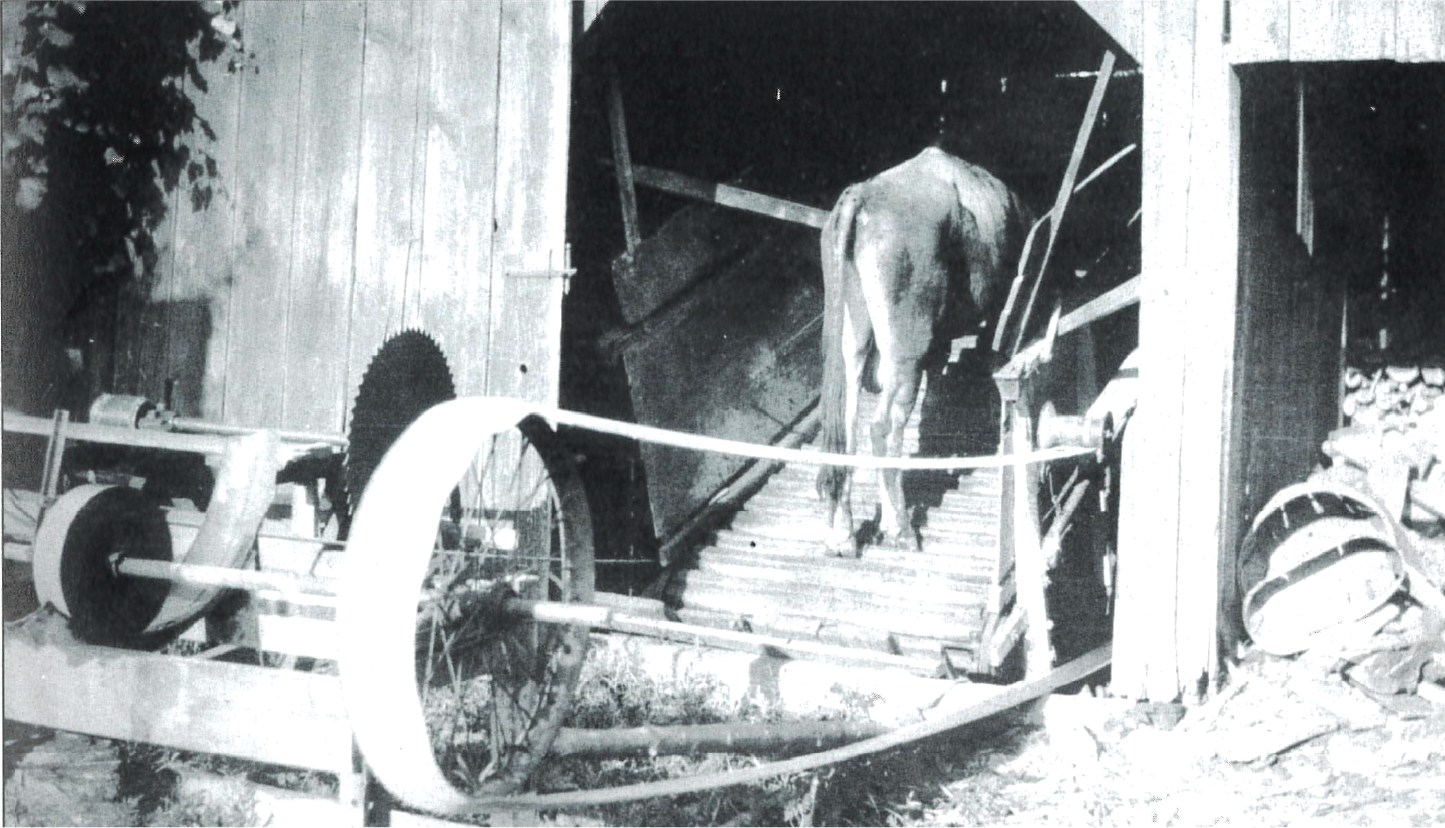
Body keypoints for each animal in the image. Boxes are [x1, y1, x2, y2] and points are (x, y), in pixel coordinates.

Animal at [820, 148, 1034, 554]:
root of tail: (863, 194)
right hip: (906, 350)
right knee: (882, 428)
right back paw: (900, 529)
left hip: (852, 339)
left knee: (847, 425)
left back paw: (842, 535)